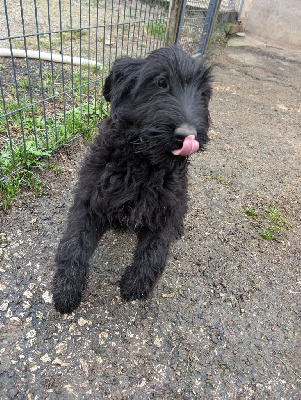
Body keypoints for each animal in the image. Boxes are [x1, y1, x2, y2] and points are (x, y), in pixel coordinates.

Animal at [52, 44, 211, 312]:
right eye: (160, 82)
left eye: (204, 93)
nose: (188, 135)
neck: (141, 165)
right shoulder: (90, 198)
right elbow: (73, 243)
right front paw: (66, 290)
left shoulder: (168, 206)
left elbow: (156, 249)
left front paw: (136, 284)